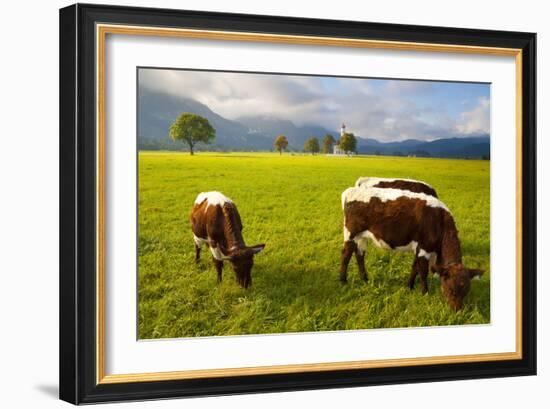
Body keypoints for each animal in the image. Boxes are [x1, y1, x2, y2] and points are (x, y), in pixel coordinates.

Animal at [340, 187, 484, 310]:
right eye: (451, 289)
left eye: (467, 291)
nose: (457, 310)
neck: (440, 221)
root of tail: (351, 190)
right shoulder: (424, 248)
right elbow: (423, 272)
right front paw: (425, 293)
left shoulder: (419, 248)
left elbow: (414, 268)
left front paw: (409, 286)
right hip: (351, 233)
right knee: (346, 255)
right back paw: (343, 280)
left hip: (362, 236)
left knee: (359, 254)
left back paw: (365, 279)